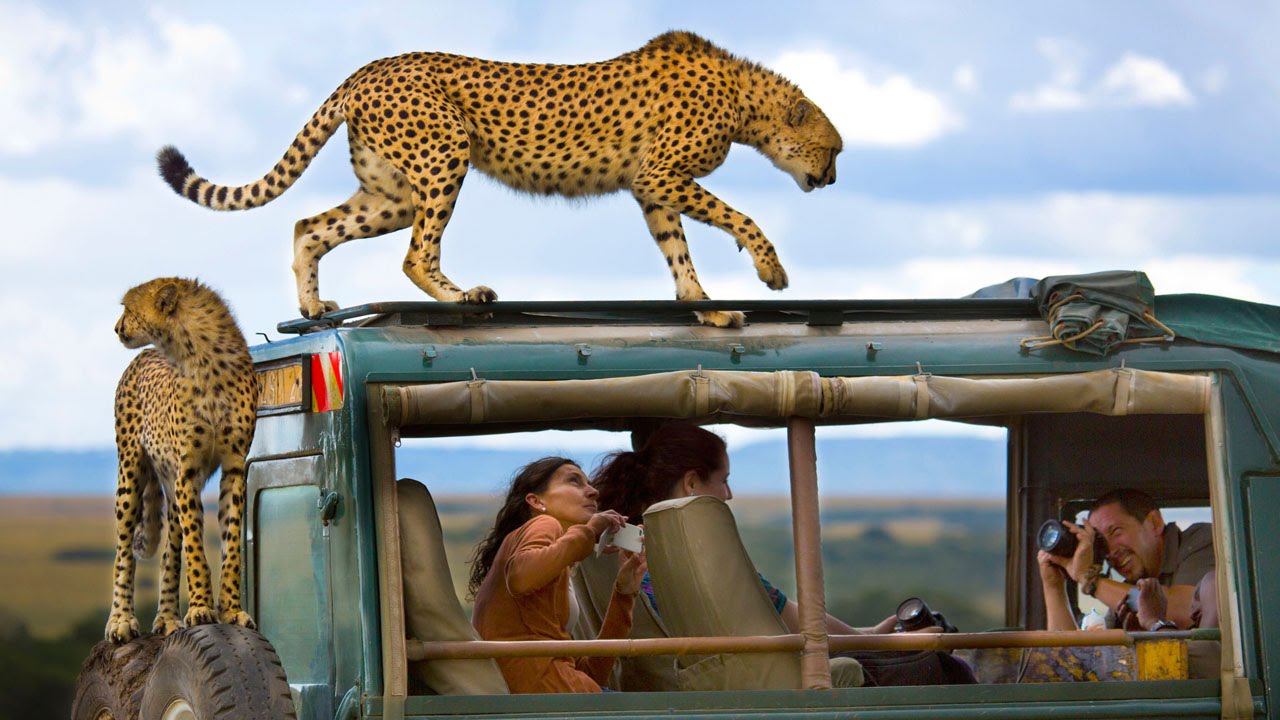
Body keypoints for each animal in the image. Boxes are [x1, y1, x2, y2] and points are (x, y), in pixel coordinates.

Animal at [106, 274, 258, 638]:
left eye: (128, 309)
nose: (116, 328)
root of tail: (143, 356)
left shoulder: (232, 467)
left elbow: (229, 545)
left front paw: (231, 610)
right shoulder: (188, 471)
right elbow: (196, 550)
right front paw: (202, 607)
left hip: (171, 486)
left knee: (169, 553)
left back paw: (167, 618)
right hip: (130, 474)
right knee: (124, 551)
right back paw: (121, 620)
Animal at [157, 30, 839, 326]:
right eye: (831, 149)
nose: (832, 181)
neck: (745, 100)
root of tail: (372, 65)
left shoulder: (653, 187)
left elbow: (678, 251)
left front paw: (705, 309)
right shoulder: (660, 174)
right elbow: (738, 216)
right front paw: (770, 270)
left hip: (390, 193)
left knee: (309, 225)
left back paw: (313, 304)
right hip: (445, 153)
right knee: (415, 254)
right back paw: (460, 296)